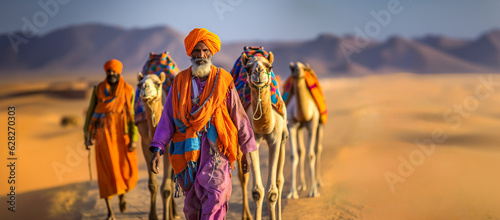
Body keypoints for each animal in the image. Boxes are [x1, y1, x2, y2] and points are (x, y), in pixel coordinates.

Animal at [137, 72, 178, 220]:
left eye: (158, 83)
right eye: (139, 84)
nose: (144, 87)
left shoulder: (170, 146)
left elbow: (166, 188)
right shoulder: (145, 143)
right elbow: (152, 185)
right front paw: (153, 216)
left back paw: (174, 214)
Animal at [239, 52, 290, 220]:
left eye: (269, 66)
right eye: (247, 68)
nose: (258, 71)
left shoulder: (275, 140)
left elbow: (272, 192)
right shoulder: (251, 141)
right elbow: (257, 192)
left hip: (283, 139)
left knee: (280, 180)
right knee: (243, 178)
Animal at [286, 62, 324, 199]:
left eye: (303, 68)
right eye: (292, 68)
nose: (298, 71)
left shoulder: (312, 124)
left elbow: (311, 155)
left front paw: (313, 191)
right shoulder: (291, 125)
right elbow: (294, 155)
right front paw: (292, 193)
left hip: (320, 125)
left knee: (318, 149)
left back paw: (318, 182)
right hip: (299, 128)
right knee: (301, 151)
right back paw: (301, 185)